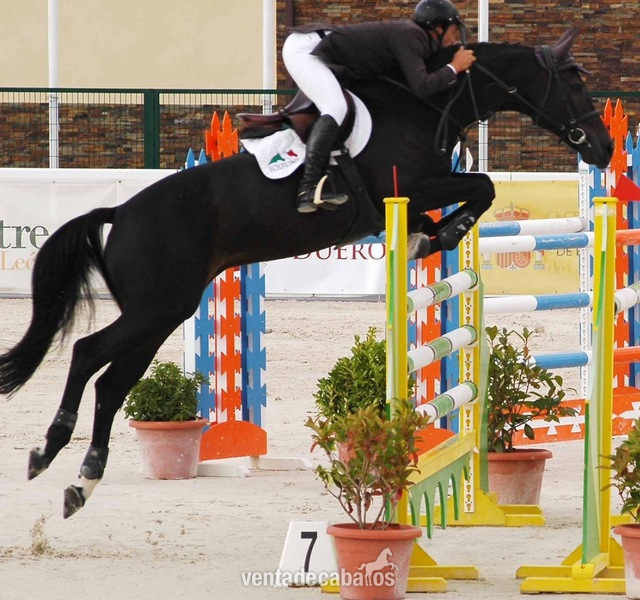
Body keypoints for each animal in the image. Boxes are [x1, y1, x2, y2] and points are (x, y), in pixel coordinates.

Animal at [0, 29, 612, 518]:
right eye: (573, 85)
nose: (604, 148)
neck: (425, 103)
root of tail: (119, 213)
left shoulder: (409, 198)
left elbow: (470, 194)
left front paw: (431, 236)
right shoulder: (408, 187)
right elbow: (481, 186)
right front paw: (444, 235)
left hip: (162, 313)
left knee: (111, 382)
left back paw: (81, 481)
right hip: (158, 308)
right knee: (88, 356)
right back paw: (49, 453)